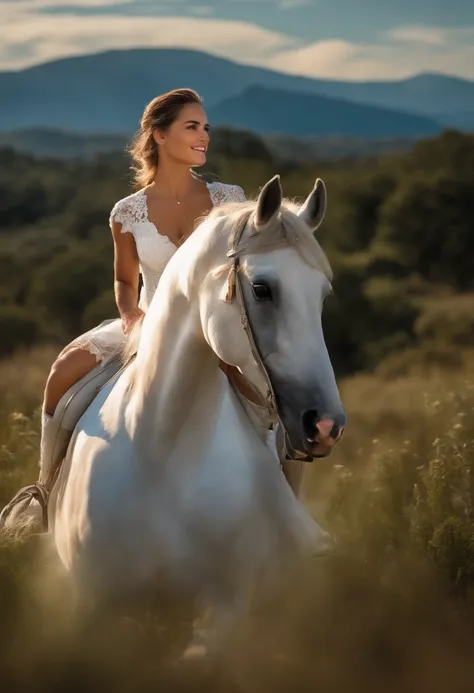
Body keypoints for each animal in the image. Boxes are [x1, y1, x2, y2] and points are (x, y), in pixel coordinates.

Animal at [5, 176, 344, 652]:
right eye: (262, 289)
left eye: (323, 294)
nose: (326, 425)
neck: (158, 451)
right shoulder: (95, 608)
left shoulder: (221, 614)